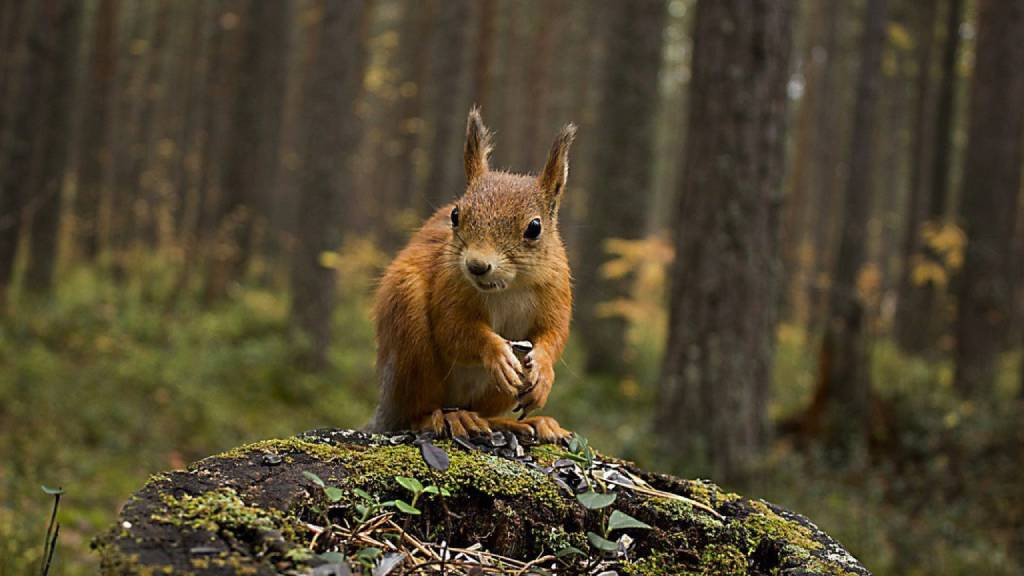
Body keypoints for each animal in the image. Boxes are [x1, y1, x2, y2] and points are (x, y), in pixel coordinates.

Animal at [367, 108, 576, 442]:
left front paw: (543, 371)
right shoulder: (449, 286)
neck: (507, 287)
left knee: (486, 413)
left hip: (496, 393)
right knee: (416, 412)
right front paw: (496, 352)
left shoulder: (556, 291)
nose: (477, 265)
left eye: (534, 227)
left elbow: (554, 335)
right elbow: (454, 330)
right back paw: (448, 418)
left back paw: (526, 423)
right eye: (455, 215)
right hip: (409, 334)